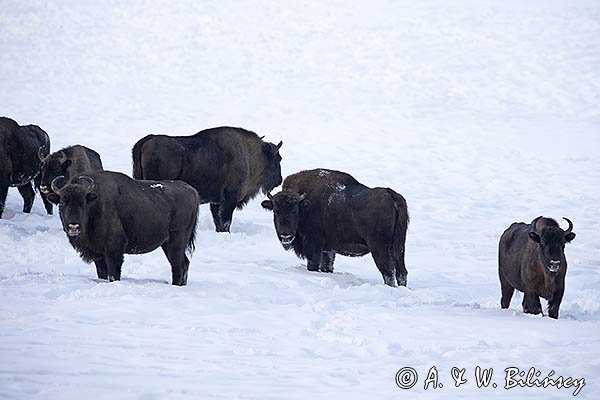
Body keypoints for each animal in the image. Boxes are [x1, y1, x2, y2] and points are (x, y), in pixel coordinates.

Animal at [49, 169, 199, 284]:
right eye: (62, 202)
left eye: (83, 202)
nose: (73, 227)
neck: (95, 205)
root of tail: (192, 191)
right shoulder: (99, 255)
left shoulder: (114, 250)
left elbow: (113, 274)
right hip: (167, 244)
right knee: (184, 263)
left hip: (176, 242)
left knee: (178, 266)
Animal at [132, 126, 282, 233]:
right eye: (278, 159)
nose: (279, 180)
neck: (250, 154)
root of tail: (147, 141)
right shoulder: (229, 199)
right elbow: (225, 221)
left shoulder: (216, 201)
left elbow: (218, 221)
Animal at [260, 169, 410, 288]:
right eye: (275, 211)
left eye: (295, 211)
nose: (285, 235)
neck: (305, 205)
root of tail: (391, 195)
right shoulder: (328, 250)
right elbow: (328, 266)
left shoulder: (313, 247)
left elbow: (314, 265)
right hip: (399, 248)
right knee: (401, 272)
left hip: (379, 248)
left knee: (388, 271)